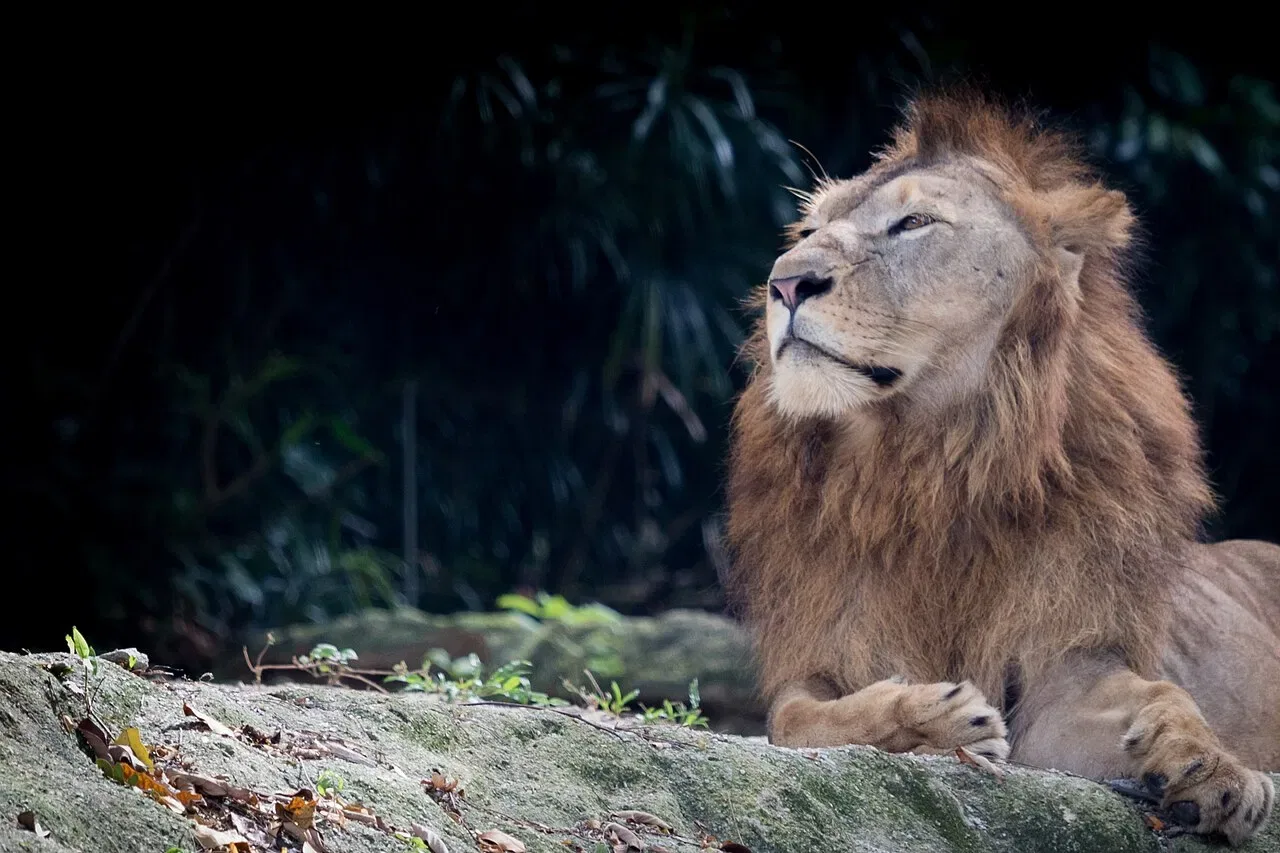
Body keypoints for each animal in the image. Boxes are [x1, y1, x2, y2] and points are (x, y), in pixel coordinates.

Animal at [723, 87, 1279, 846]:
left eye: (915, 222)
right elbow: (801, 717)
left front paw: (1209, 769)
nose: (783, 283)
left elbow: (1164, 694)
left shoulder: (1066, 664)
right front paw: (935, 717)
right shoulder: (821, 654)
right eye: (809, 227)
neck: (930, 467)